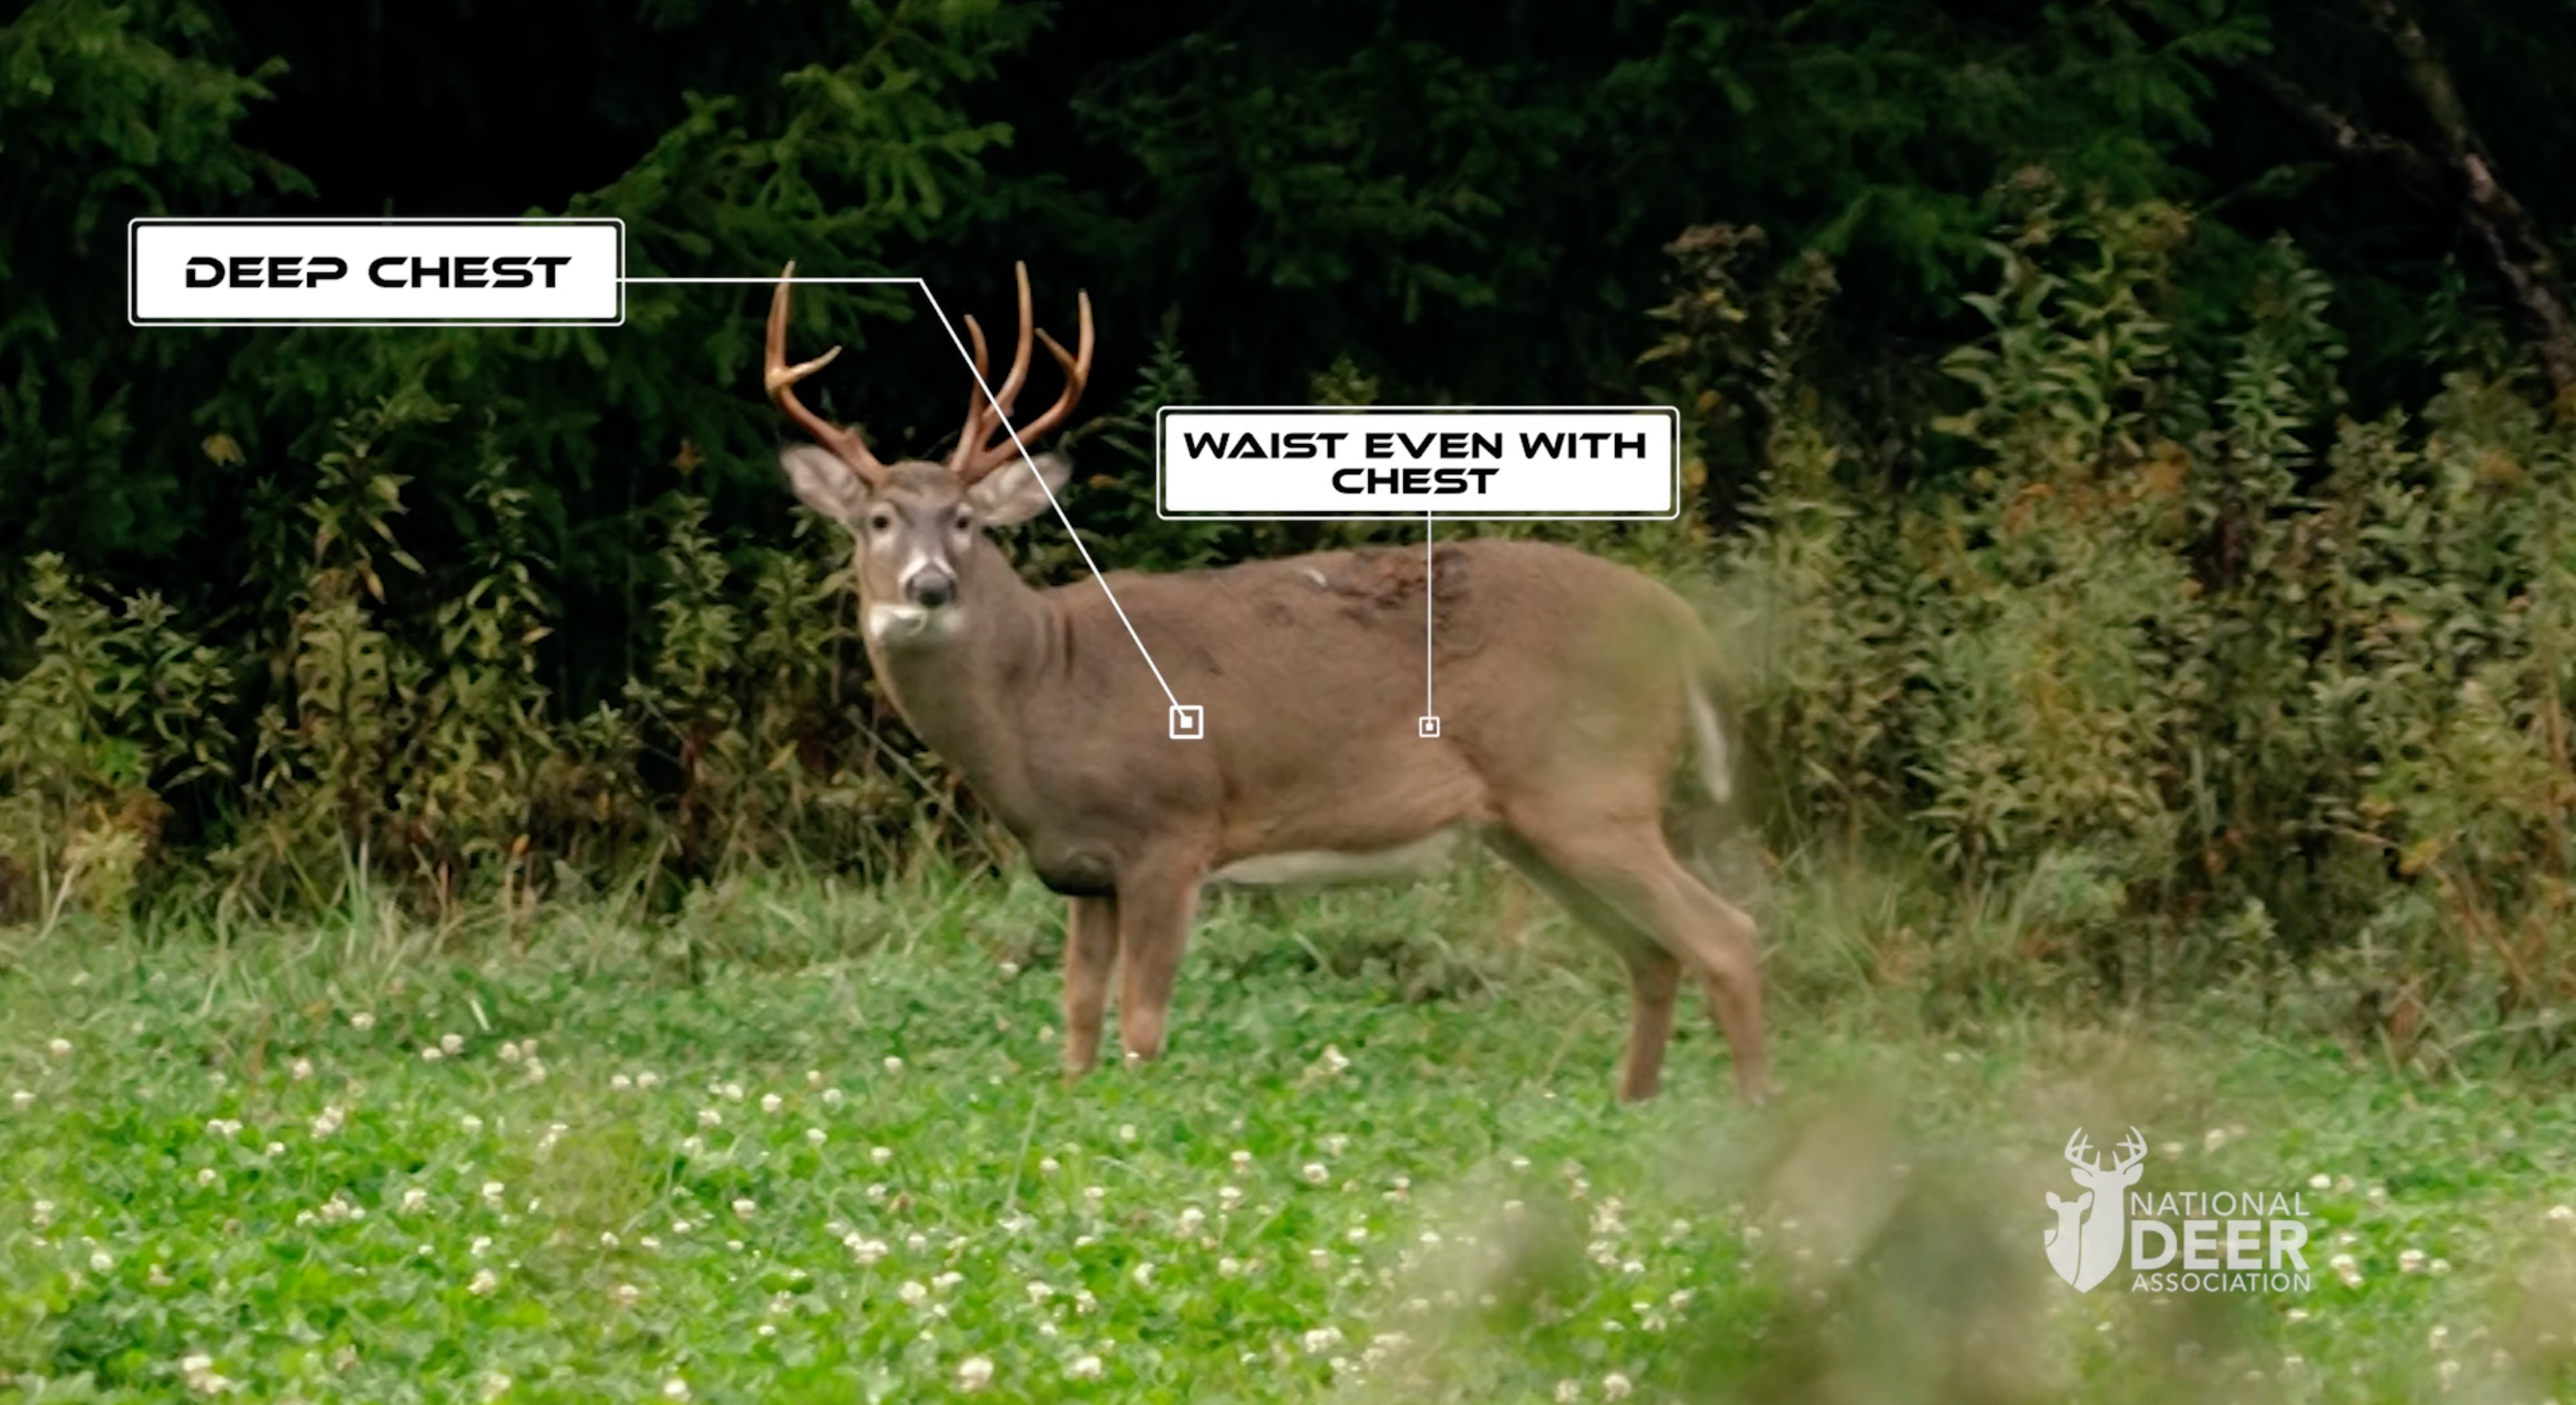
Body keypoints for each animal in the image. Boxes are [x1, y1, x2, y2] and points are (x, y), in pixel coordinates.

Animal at [762, 257, 1772, 1103]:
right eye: (879, 521)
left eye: (967, 520)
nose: (930, 586)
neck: (1042, 689)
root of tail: (1678, 624)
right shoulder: (1083, 867)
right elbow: (1078, 1023)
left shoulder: (1172, 831)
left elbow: (1141, 1023)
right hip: (1535, 823)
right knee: (1654, 953)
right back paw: (1631, 1105)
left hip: (1589, 787)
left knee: (1726, 935)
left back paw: (1750, 1115)